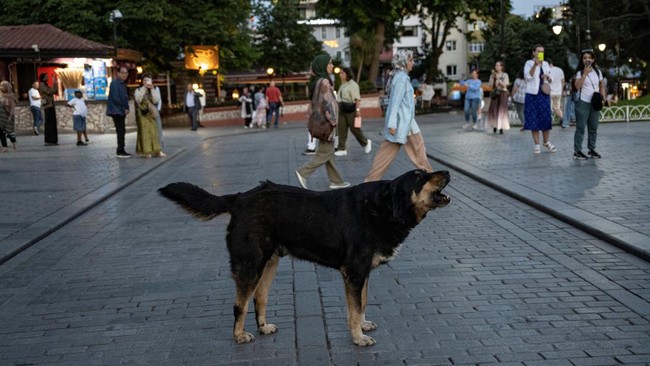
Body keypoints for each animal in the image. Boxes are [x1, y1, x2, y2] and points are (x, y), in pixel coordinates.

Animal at [159, 169, 448, 346]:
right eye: (420, 176)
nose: (446, 172)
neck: (382, 208)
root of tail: (240, 198)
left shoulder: (361, 274)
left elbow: (361, 304)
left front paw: (362, 327)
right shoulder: (354, 272)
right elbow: (355, 309)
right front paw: (357, 338)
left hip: (269, 263)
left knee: (259, 299)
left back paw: (263, 327)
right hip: (251, 265)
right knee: (240, 305)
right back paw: (239, 335)